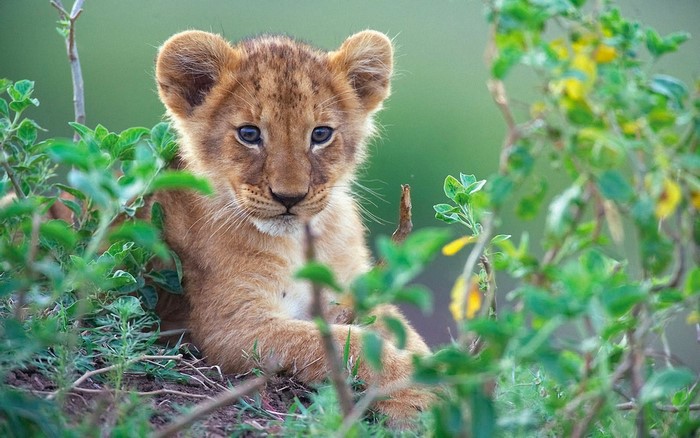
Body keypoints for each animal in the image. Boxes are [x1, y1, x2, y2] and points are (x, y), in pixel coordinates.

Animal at [152, 29, 434, 425]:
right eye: (249, 133)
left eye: (321, 134)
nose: (290, 197)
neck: (299, 242)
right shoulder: (231, 328)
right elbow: (342, 343)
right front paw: (422, 390)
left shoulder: (348, 292)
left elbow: (400, 329)